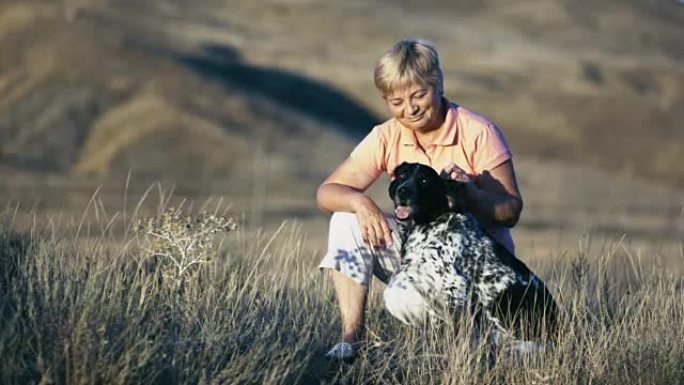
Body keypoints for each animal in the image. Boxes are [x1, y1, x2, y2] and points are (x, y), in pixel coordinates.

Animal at [388, 160, 560, 350]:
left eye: (424, 181)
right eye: (402, 176)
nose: (403, 191)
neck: (429, 221)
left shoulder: (455, 284)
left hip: (498, 302)